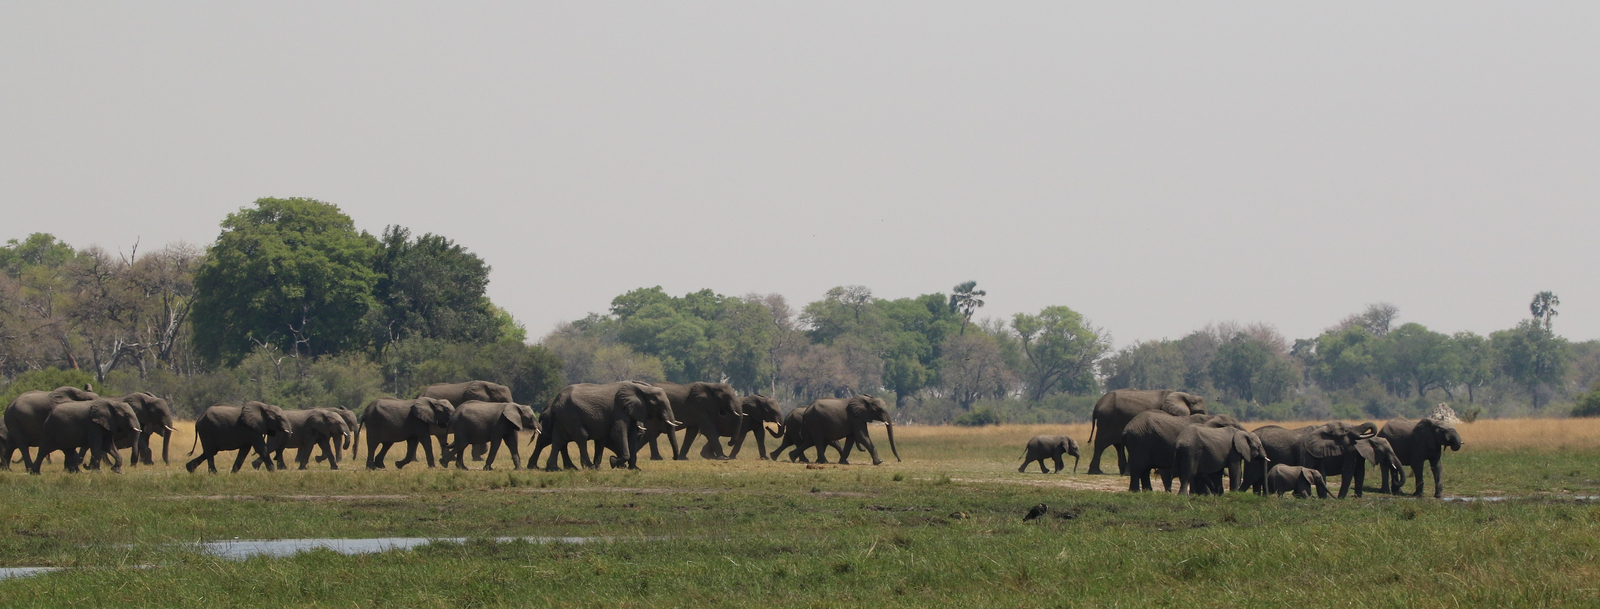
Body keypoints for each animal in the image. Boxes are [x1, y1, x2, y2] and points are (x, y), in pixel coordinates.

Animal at [540, 381, 680, 471]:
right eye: (658, 403)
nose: (674, 458)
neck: (641, 388)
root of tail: (555, 401)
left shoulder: (631, 410)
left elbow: (632, 435)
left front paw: (635, 469)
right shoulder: (620, 409)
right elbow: (618, 433)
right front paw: (613, 461)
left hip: (563, 417)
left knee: (558, 440)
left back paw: (555, 469)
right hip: (570, 415)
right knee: (581, 437)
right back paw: (590, 467)